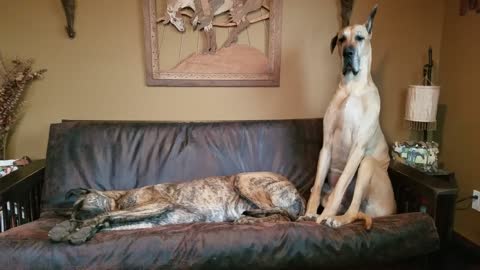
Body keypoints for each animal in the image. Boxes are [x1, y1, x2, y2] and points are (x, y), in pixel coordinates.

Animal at [300, 4, 398, 228]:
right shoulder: (326, 145)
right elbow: (317, 185)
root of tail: (395, 210)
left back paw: (336, 219)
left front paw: (323, 216)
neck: (351, 87)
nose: (348, 53)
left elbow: (342, 184)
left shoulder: (358, 149)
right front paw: (310, 213)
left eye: (360, 38)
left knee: (353, 209)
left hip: (367, 164)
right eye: (341, 39)